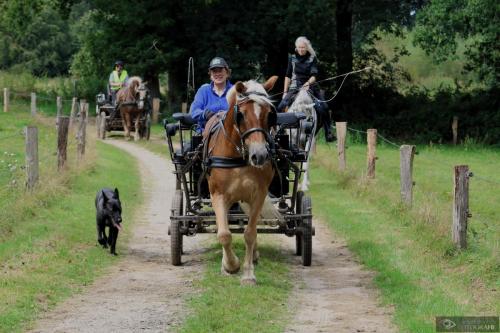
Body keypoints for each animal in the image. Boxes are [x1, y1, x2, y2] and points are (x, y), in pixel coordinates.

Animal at [204, 76, 282, 284]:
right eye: (242, 114)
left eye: (269, 114)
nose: (260, 155)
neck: (239, 156)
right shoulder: (218, 195)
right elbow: (224, 234)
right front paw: (231, 265)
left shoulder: (258, 195)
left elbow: (250, 233)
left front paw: (248, 274)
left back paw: (253, 255)